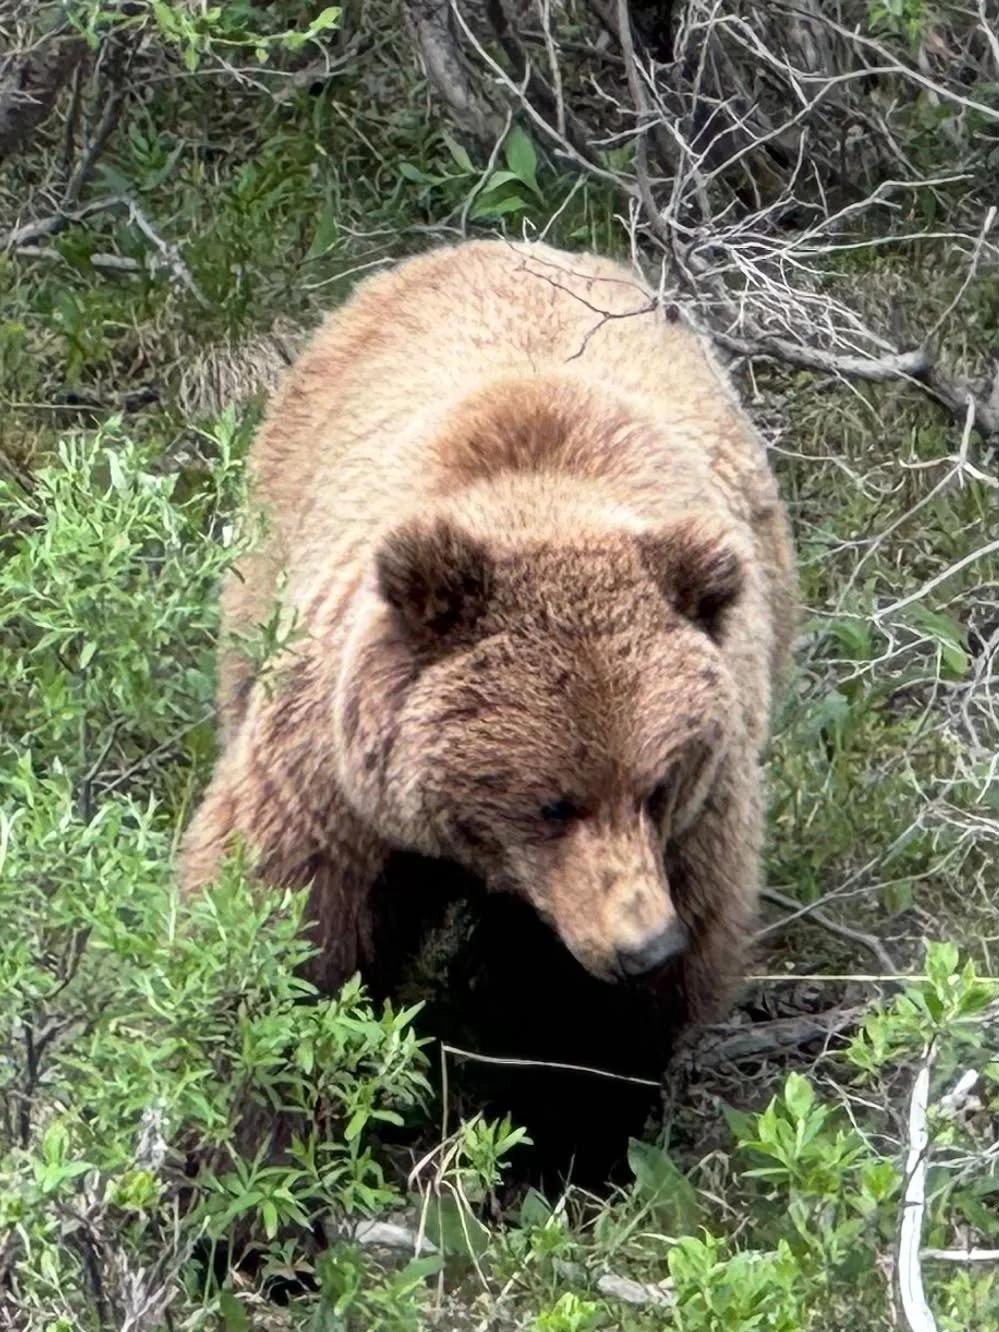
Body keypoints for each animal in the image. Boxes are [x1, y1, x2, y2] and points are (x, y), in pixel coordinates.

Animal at [179, 238, 797, 1181]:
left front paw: (566, 1144)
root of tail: (510, 243)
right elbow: (285, 925)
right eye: (551, 802)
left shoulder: (696, 825)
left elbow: (596, 1017)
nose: (640, 943)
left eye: (656, 787)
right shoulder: (336, 779)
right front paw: (261, 1160)